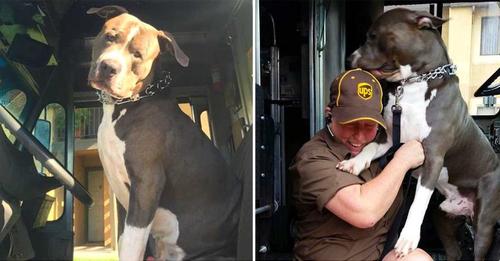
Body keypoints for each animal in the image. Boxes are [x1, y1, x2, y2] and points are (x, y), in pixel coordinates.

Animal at [87, 5, 241, 258]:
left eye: (138, 55)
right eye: (110, 36)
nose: (109, 67)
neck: (129, 103)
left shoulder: (147, 183)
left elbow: (131, 245)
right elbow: (124, 240)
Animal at [338, 8, 498, 260]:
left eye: (372, 36)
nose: (348, 59)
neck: (415, 84)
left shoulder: (432, 157)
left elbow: (417, 203)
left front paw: (407, 238)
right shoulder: (389, 139)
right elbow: (369, 147)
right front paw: (354, 162)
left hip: (484, 223)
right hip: (443, 217)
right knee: (454, 251)